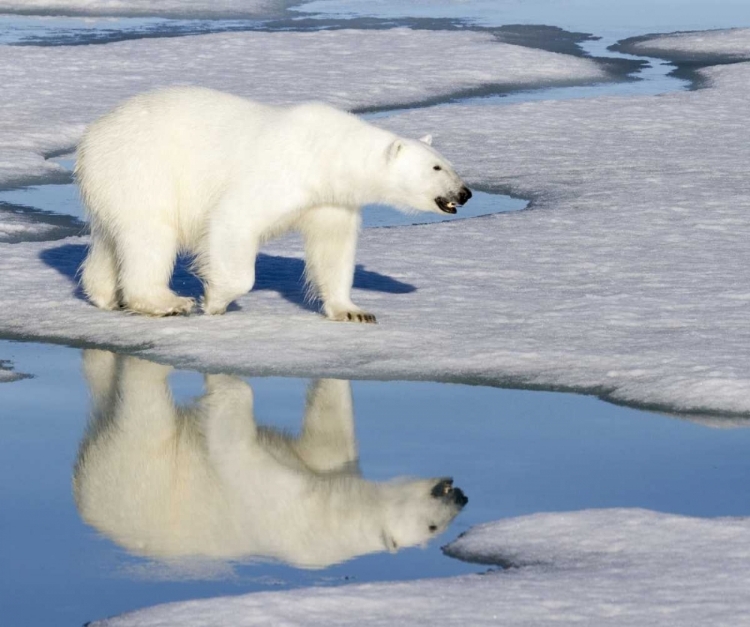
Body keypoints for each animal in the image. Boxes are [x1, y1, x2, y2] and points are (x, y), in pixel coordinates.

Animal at [72, 350, 470, 572]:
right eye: (432, 527)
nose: (461, 496)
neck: (332, 516)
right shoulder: (288, 500)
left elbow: (323, 433)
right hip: (139, 475)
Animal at [73, 86, 470, 322]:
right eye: (436, 168)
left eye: (448, 163)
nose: (465, 193)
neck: (326, 153)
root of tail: (91, 137)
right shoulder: (279, 174)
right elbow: (233, 221)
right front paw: (215, 300)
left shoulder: (330, 199)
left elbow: (333, 250)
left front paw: (353, 311)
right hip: (143, 169)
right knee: (150, 236)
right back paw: (166, 302)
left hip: (114, 183)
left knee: (113, 238)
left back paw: (104, 295)